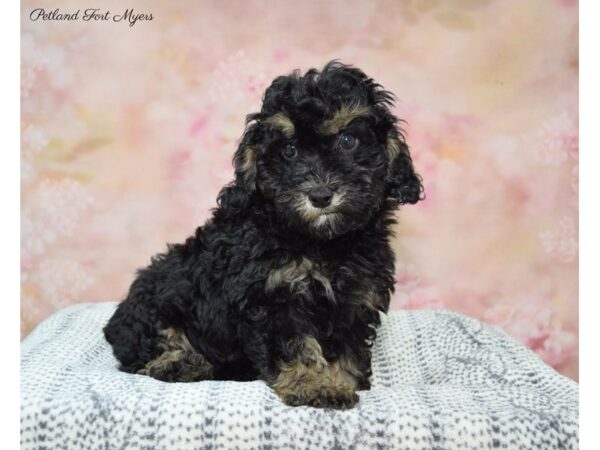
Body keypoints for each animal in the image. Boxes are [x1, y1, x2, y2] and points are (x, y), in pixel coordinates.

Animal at [103, 61, 422, 410]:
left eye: (349, 140)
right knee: (146, 348)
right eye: (289, 151)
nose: (320, 195)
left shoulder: (354, 298)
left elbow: (346, 347)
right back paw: (179, 363)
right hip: (159, 298)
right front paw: (316, 384)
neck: (320, 242)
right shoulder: (272, 296)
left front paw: (342, 381)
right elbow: (296, 345)